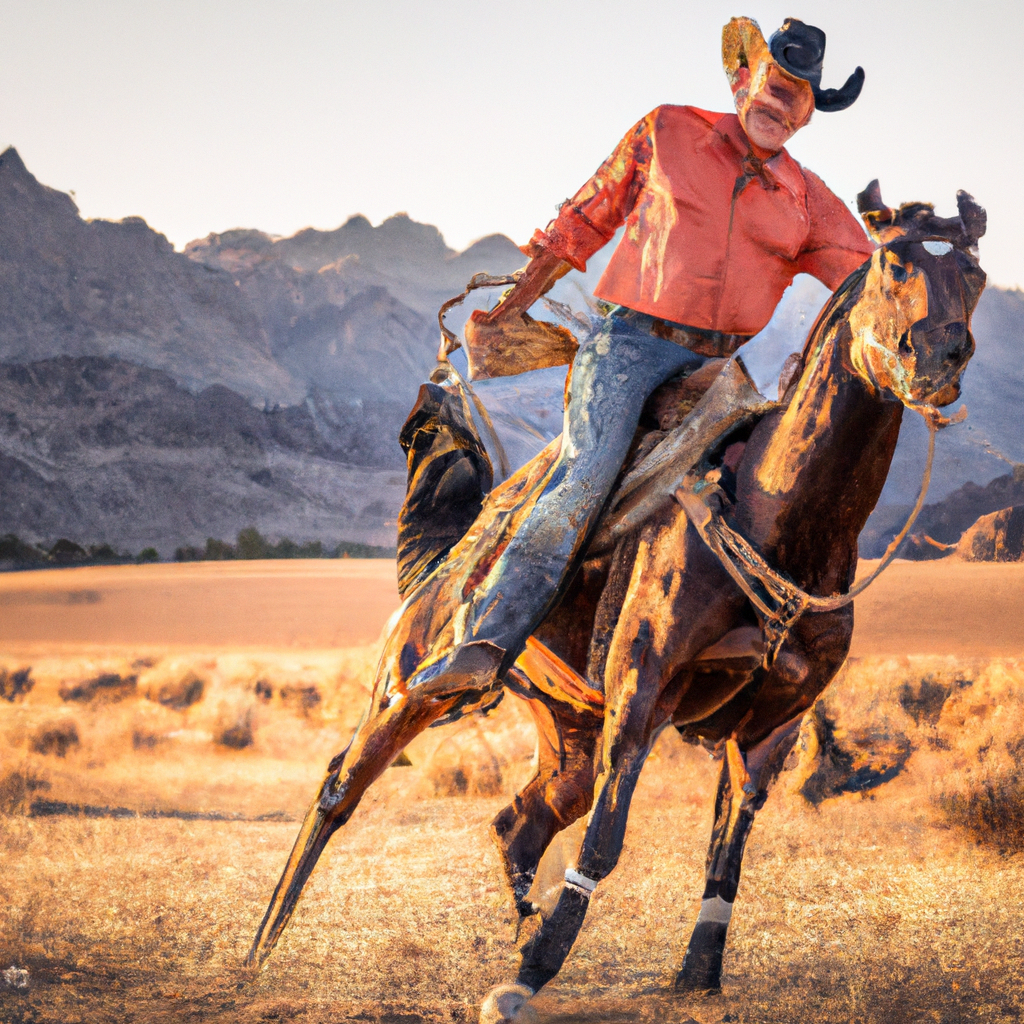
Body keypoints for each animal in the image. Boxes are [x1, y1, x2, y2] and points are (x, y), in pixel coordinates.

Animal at [245, 186, 983, 1024]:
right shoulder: (640, 690)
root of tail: (447, 558)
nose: (939, 358)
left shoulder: (776, 724)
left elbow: (725, 854)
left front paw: (691, 974)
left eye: (974, 273)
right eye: (894, 264)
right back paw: (262, 949)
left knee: (521, 819)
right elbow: (605, 840)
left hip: (569, 729)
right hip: (410, 688)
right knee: (341, 786)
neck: (781, 519)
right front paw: (529, 977)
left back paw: (519, 930)